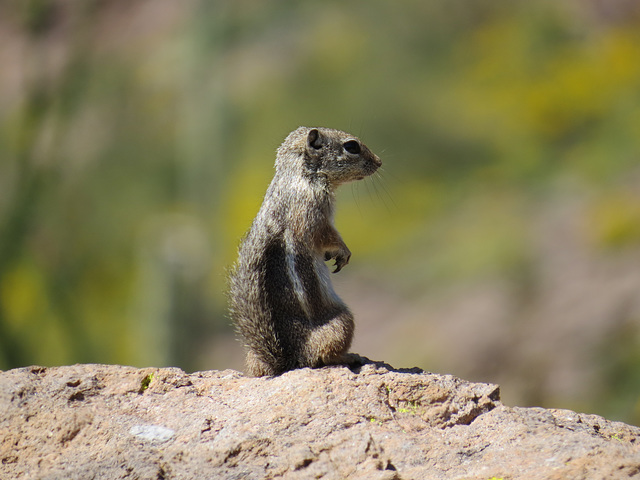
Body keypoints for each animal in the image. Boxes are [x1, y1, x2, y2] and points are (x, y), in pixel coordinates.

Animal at [229, 125, 382, 376]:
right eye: (352, 146)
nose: (379, 162)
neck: (298, 174)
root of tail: (287, 360)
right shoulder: (313, 213)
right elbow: (326, 236)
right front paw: (343, 252)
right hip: (343, 320)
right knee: (322, 356)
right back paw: (350, 356)